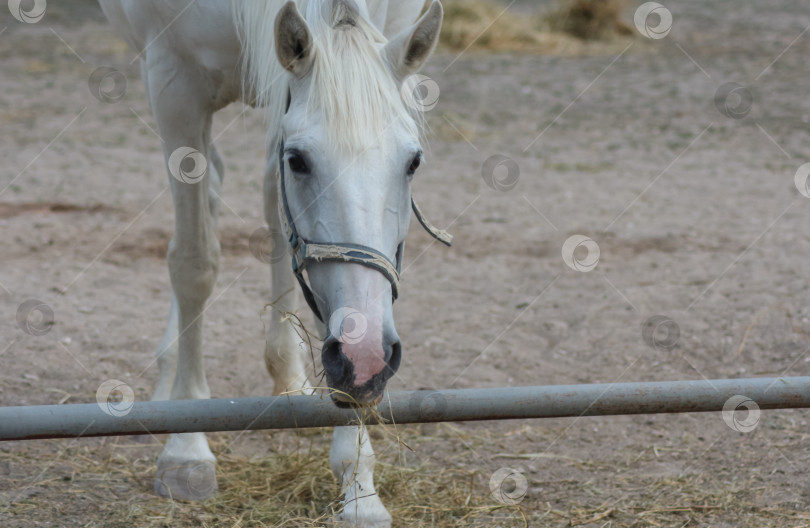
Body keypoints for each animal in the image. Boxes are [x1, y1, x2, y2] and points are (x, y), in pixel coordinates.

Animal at [98, 0, 446, 524]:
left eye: (413, 162)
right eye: (299, 160)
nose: (367, 358)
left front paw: (359, 483)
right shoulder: (174, 82)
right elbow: (195, 261)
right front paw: (186, 449)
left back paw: (287, 372)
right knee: (211, 195)